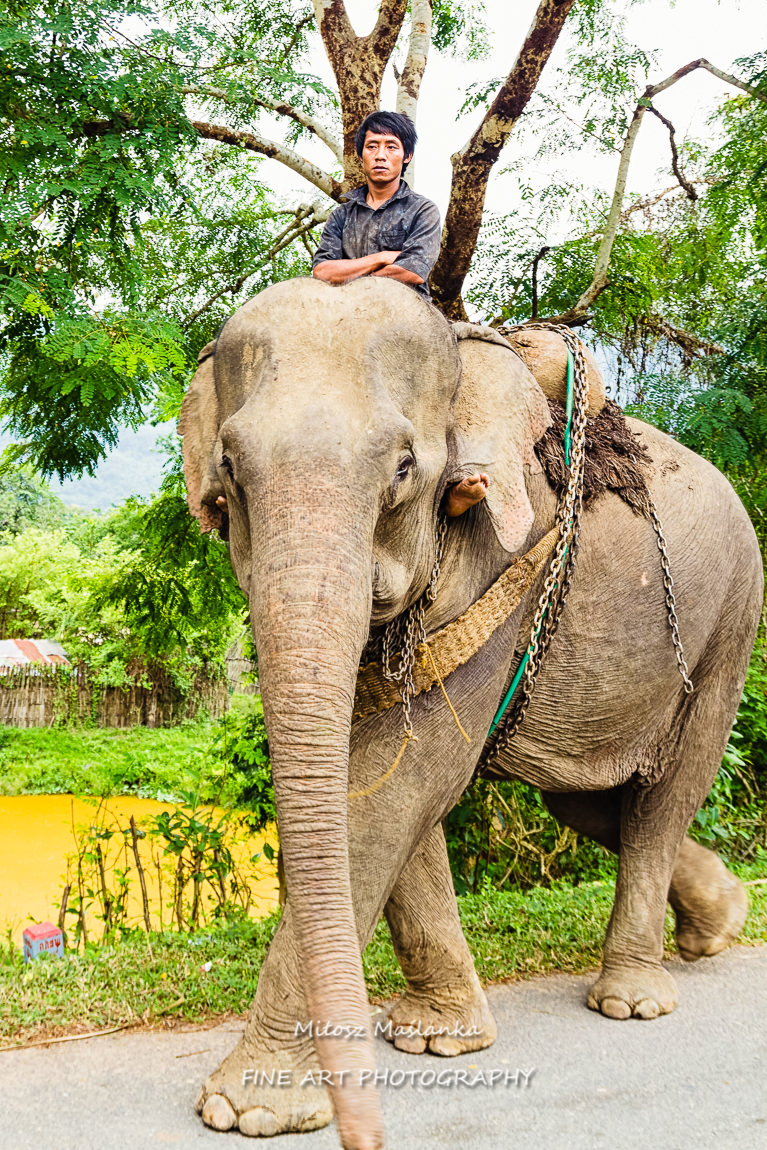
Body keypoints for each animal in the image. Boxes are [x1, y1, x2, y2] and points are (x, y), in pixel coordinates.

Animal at [179, 276, 762, 1150]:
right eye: (229, 474)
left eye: (402, 469)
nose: (365, 1134)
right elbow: (390, 785)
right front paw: (437, 1039)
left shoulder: (502, 562)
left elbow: (397, 787)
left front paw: (250, 1109)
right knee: (588, 802)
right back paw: (718, 925)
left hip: (728, 621)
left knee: (665, 794)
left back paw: (633, 998)